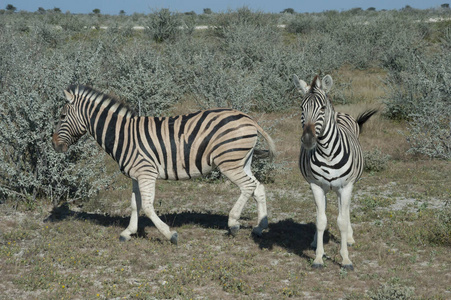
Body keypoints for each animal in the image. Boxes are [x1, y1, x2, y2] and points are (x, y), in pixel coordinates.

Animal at [53, 84, 278, 244]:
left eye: (62, 116)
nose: (54, 145)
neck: (123, 135)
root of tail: (249, 118)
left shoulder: (146, 172)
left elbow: (148, 207)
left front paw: (170, 234)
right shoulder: (136, 175)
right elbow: (135, 204)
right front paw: (128, 232)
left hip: (229, 163)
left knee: (248, 186)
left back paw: (233, 224)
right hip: (242, 161)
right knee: (258, 187)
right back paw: (260, 228)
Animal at [294, 74, 378, 270]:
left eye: (322, 108)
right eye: (302, 108)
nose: (308, 140)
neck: (326, 152)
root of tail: (339, 113)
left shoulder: (346, 187)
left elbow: (342, 221)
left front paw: (345, 259)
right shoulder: (316, 186)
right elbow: (321, 220)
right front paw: (318, 257)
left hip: (348, 186)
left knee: (345, 212)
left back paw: (350, 238)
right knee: (323, 212)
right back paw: (315, 240)